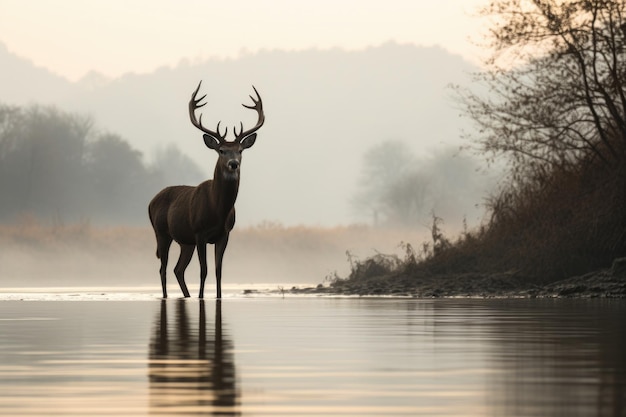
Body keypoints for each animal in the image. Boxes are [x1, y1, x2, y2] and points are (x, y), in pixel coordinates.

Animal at [149, 80, 264, 296]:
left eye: (240, 150)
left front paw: (217, 297)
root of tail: (151, 202)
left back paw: (186, 295)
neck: (217, 210)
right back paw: (167, 296)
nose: (234, 164)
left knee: (178, 269)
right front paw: (201, 297)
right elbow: (204, 270)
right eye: (222, 150)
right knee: (163, 268)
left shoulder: (224, 234)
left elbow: (218, 271)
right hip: (162, 232)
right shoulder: (199, 232)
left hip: (185, 241)